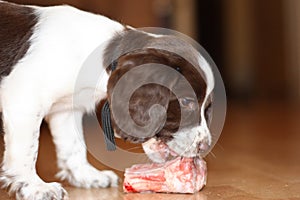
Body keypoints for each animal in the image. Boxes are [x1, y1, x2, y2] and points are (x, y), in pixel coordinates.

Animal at [1, 0, 214, 199]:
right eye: (186, 102)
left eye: (207, 108)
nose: (205, 146)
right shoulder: (24, 100)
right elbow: (28, 150)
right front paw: (34, 186)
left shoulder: (66, 110)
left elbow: (73, 146)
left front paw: (86, 176)